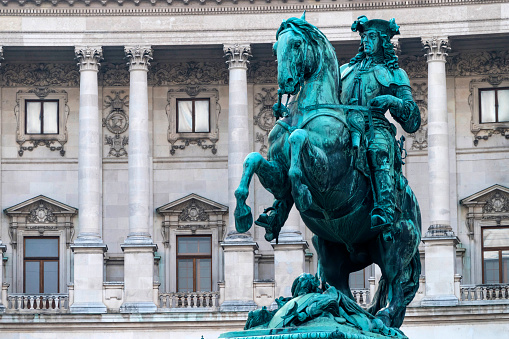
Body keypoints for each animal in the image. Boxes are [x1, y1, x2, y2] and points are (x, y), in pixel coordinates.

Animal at [232, 15, 418, 330]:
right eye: (275, 47)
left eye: (296, 44)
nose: (286, 83)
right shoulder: (276, 175)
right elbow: (253, 159)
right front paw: (244, 213)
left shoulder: (330, 173)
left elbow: (298, 141)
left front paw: (302, 192)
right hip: (330, 250)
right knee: (339, 290)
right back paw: (340, 310)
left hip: (396, 242)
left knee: (394, 286)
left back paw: (381, 318)